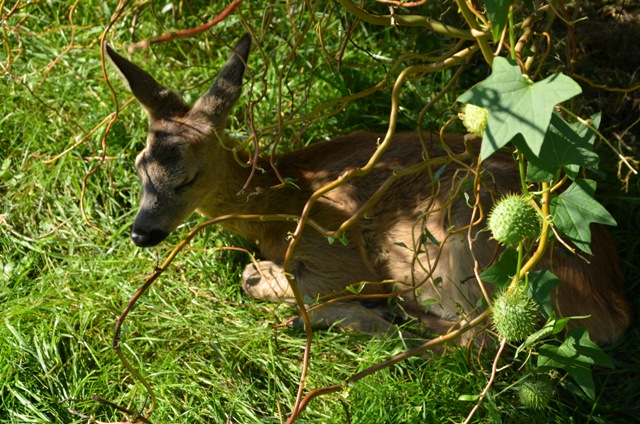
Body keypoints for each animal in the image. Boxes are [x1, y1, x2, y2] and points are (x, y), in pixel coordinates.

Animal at [105, 34, 631, 345]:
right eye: (139, 166)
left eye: (187, 178)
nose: (141, 233)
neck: (278, 196)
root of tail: (609, 306)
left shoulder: (337, 251)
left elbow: (256, 279)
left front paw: (279, 285)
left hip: (447, 250)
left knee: (473, 340)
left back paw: (359, 318)